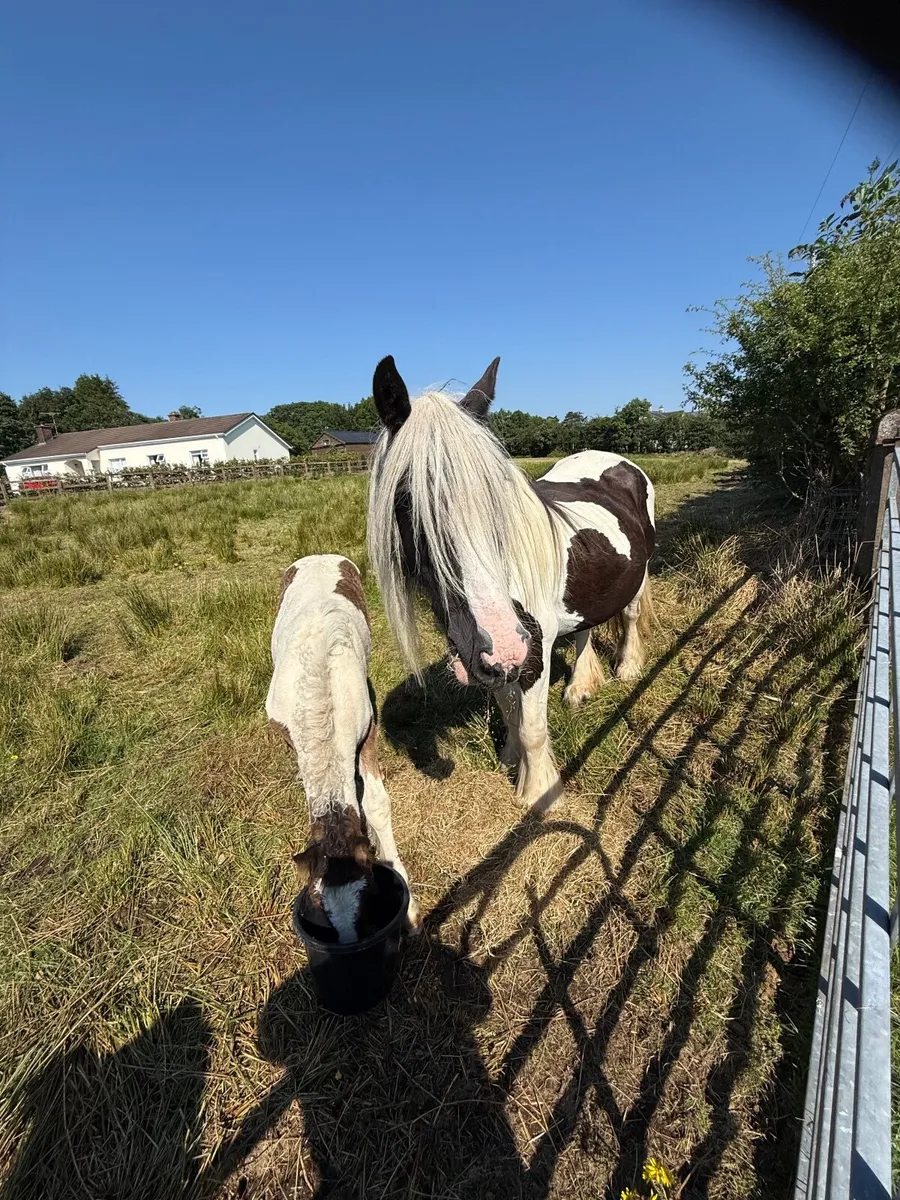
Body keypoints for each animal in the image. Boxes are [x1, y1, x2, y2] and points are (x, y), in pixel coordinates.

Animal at [266, 553, 421, 942]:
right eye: (321, 916)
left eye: (368, 904)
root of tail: (317, 557)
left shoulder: (368, 731)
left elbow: (376, 804)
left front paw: (411, 910)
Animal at [367, 357, 655, 812]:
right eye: (407, 502)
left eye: (497, 495)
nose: (501, 642)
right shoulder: (491, 657)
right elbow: (509, 710)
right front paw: (510, 758)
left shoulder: (530, 650)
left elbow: (532, 727)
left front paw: (539, 793)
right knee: (584, 630)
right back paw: (579, 687)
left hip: (637, 579)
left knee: (628, 616)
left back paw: (626, 669)